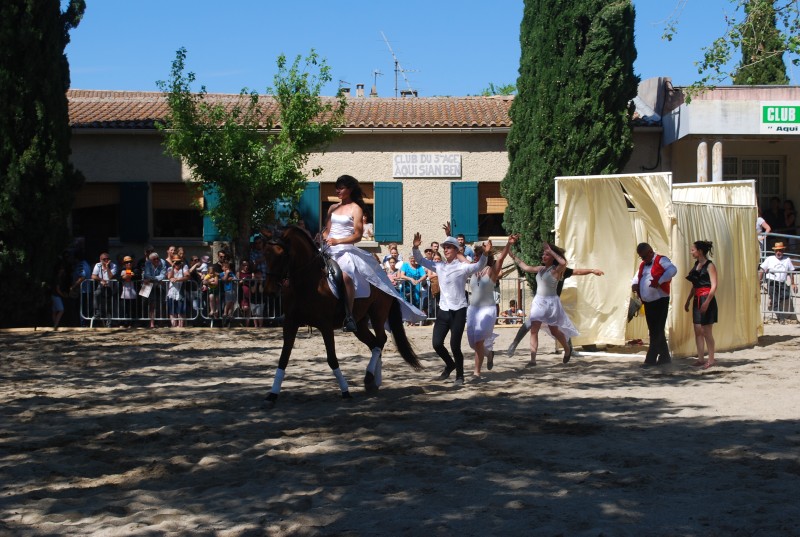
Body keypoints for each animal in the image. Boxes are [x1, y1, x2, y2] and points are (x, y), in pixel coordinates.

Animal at [264, 224, 424, 404]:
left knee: (380, 340)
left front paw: (345, 391)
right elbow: (283, 358)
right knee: (374, 343)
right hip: (360, 323)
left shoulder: (325, 325)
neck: (306, 283)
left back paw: (370, 377)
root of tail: (386, 277)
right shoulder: (290, 323)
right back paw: (374, 381)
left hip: (378, 313)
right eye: (265, 254)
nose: (269, 291)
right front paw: (272, 394)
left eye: (282, 255)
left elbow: (332, 359)